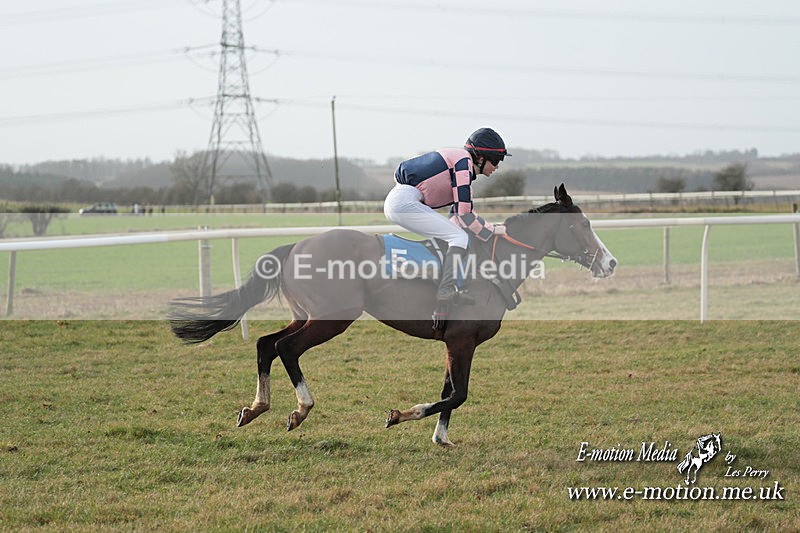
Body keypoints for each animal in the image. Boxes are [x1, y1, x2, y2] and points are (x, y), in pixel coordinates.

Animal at [168, 184, 617, 446]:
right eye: (582, 226)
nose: (610, 262)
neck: (493, 264)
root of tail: (297, 245)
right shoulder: (462, 340)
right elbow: (459, 393)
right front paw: (400, 415)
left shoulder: (456, 341)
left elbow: (449, 390)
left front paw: (441, 439)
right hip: (333, 318)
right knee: (286, 348)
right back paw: (301, 409)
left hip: (308, 314)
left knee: (266, 344)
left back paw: (256, 407)